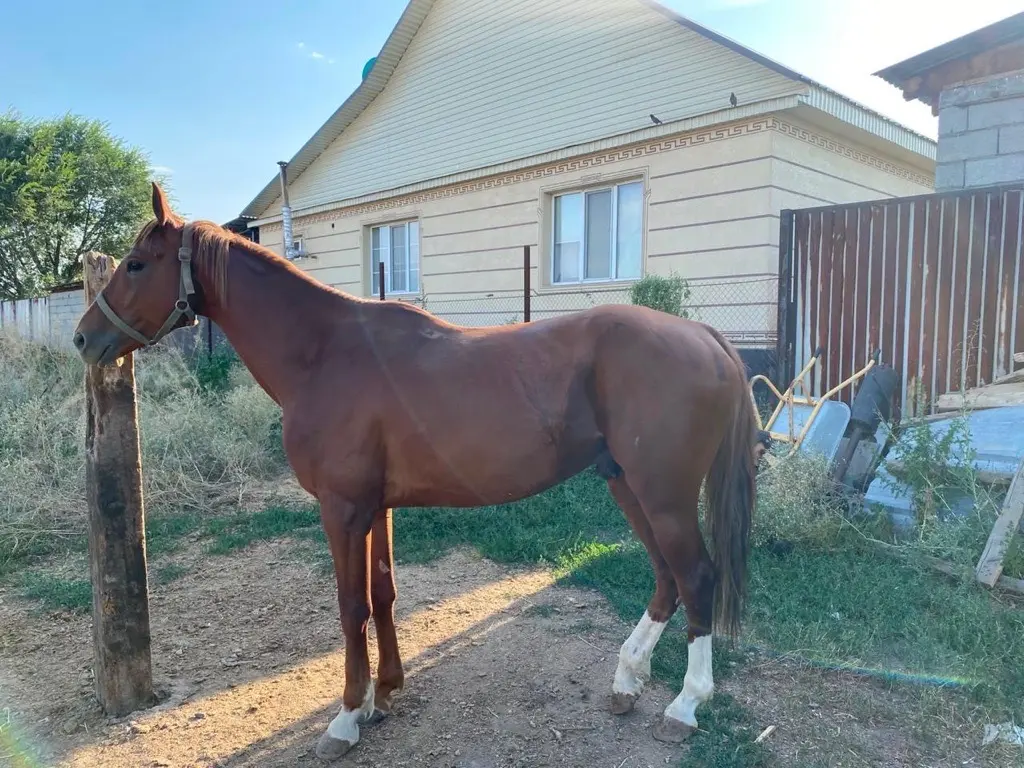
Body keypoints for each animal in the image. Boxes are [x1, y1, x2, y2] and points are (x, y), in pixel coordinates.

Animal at [73, 183, 758, 761]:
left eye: (137, 264)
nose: (83, 339)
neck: (324, 353)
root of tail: (704, 334)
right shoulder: (377, 506)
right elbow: (383, 594)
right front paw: (385, 695)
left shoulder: (343, 509)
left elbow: (351, 604)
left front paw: (346, 717)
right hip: (627, 484)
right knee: (668, 577)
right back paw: (627, 680)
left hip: (662, 494)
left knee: (696, 575)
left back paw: (685, 705)